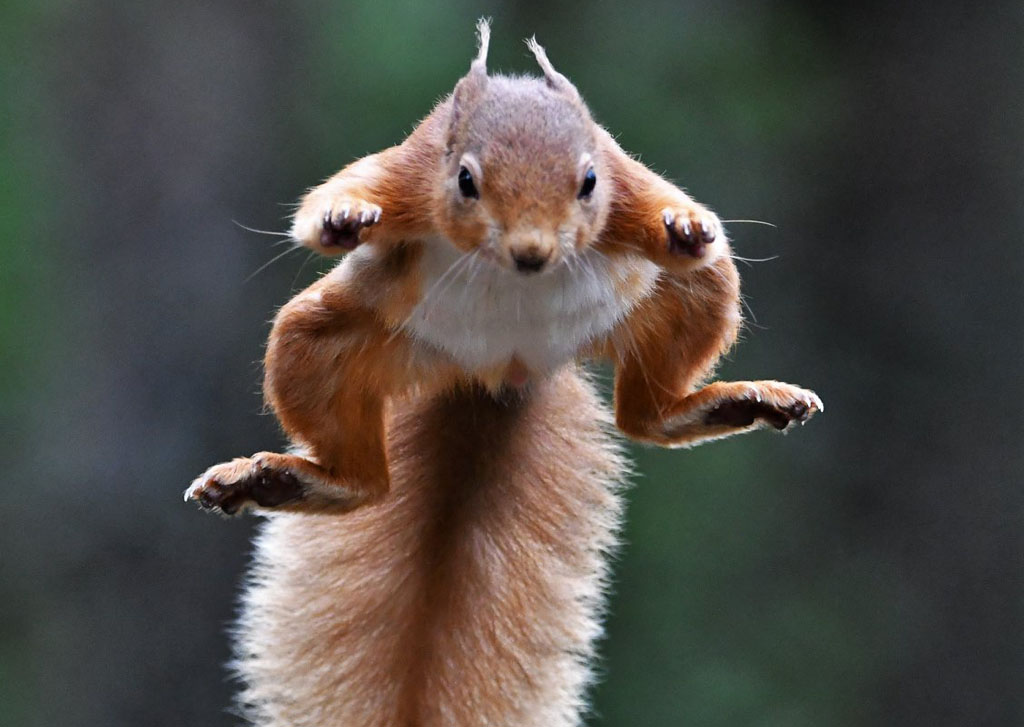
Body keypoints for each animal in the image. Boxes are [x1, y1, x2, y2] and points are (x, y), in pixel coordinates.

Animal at [186, 19, 823, 724]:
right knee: (365, 481)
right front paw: (342, 219)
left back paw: (734, 402)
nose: (531, 252)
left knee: (649, 410)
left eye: (589, 180)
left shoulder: (627, 183)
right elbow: (343, 190)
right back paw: (285, 481)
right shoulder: (409, 172)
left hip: (692, 296)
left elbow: (661, 200)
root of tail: (504, 371)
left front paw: (686, 224)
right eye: (465, 179)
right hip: (319, 346)